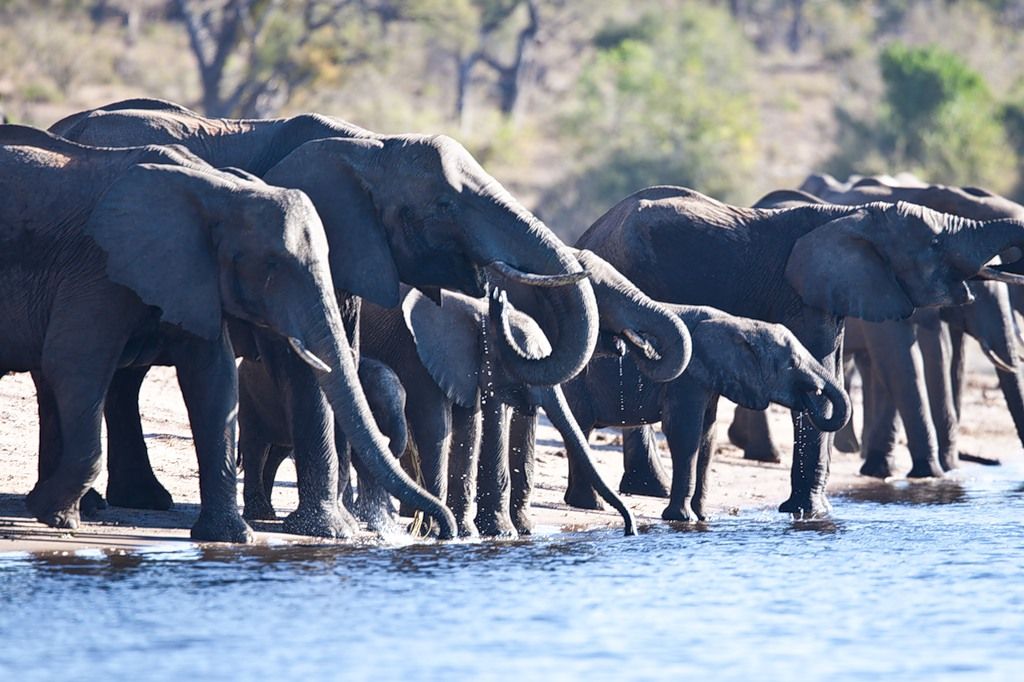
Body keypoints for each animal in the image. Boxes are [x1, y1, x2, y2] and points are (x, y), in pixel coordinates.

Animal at [0, 122, 432, 536]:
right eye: (272, 265)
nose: (436, 529)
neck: (221, 191)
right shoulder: (99, 266)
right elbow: (74, 363)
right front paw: (53, 516)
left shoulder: (189, 272)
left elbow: (213, 378)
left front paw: (228, 537)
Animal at [46, 98, 598, 532]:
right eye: (443, 206)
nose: (497, 294)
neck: (372, 147)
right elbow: (306, 361)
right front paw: (329, 529)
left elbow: (344, 351)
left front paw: (346, 520)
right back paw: (98, 507)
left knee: (123, 375)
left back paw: (135, 502)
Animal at [565, 303, 843, 520]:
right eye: (792, 363)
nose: (813, 393)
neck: (736, 322)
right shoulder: (686, 376)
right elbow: (685, 432)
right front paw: (682, 518)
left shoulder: (710, 377)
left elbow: (708, 435)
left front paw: (702, 517)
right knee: (581, 427)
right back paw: (591, 505)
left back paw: (582, 504)